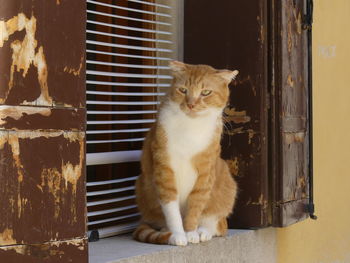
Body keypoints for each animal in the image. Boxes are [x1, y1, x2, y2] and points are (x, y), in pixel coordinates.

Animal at [133, 60, 238, 246]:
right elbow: (171, 208)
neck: (190, 127)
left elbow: (196, 206)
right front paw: (177, 235)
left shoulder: (205, 173)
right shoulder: (164, 168)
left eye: (205, 92)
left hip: (226, 180)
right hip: (141, 184)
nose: (191, 104)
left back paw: (203, 231)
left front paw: (191, 233)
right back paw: (165, 230)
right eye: (183, 90)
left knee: (219, 224)